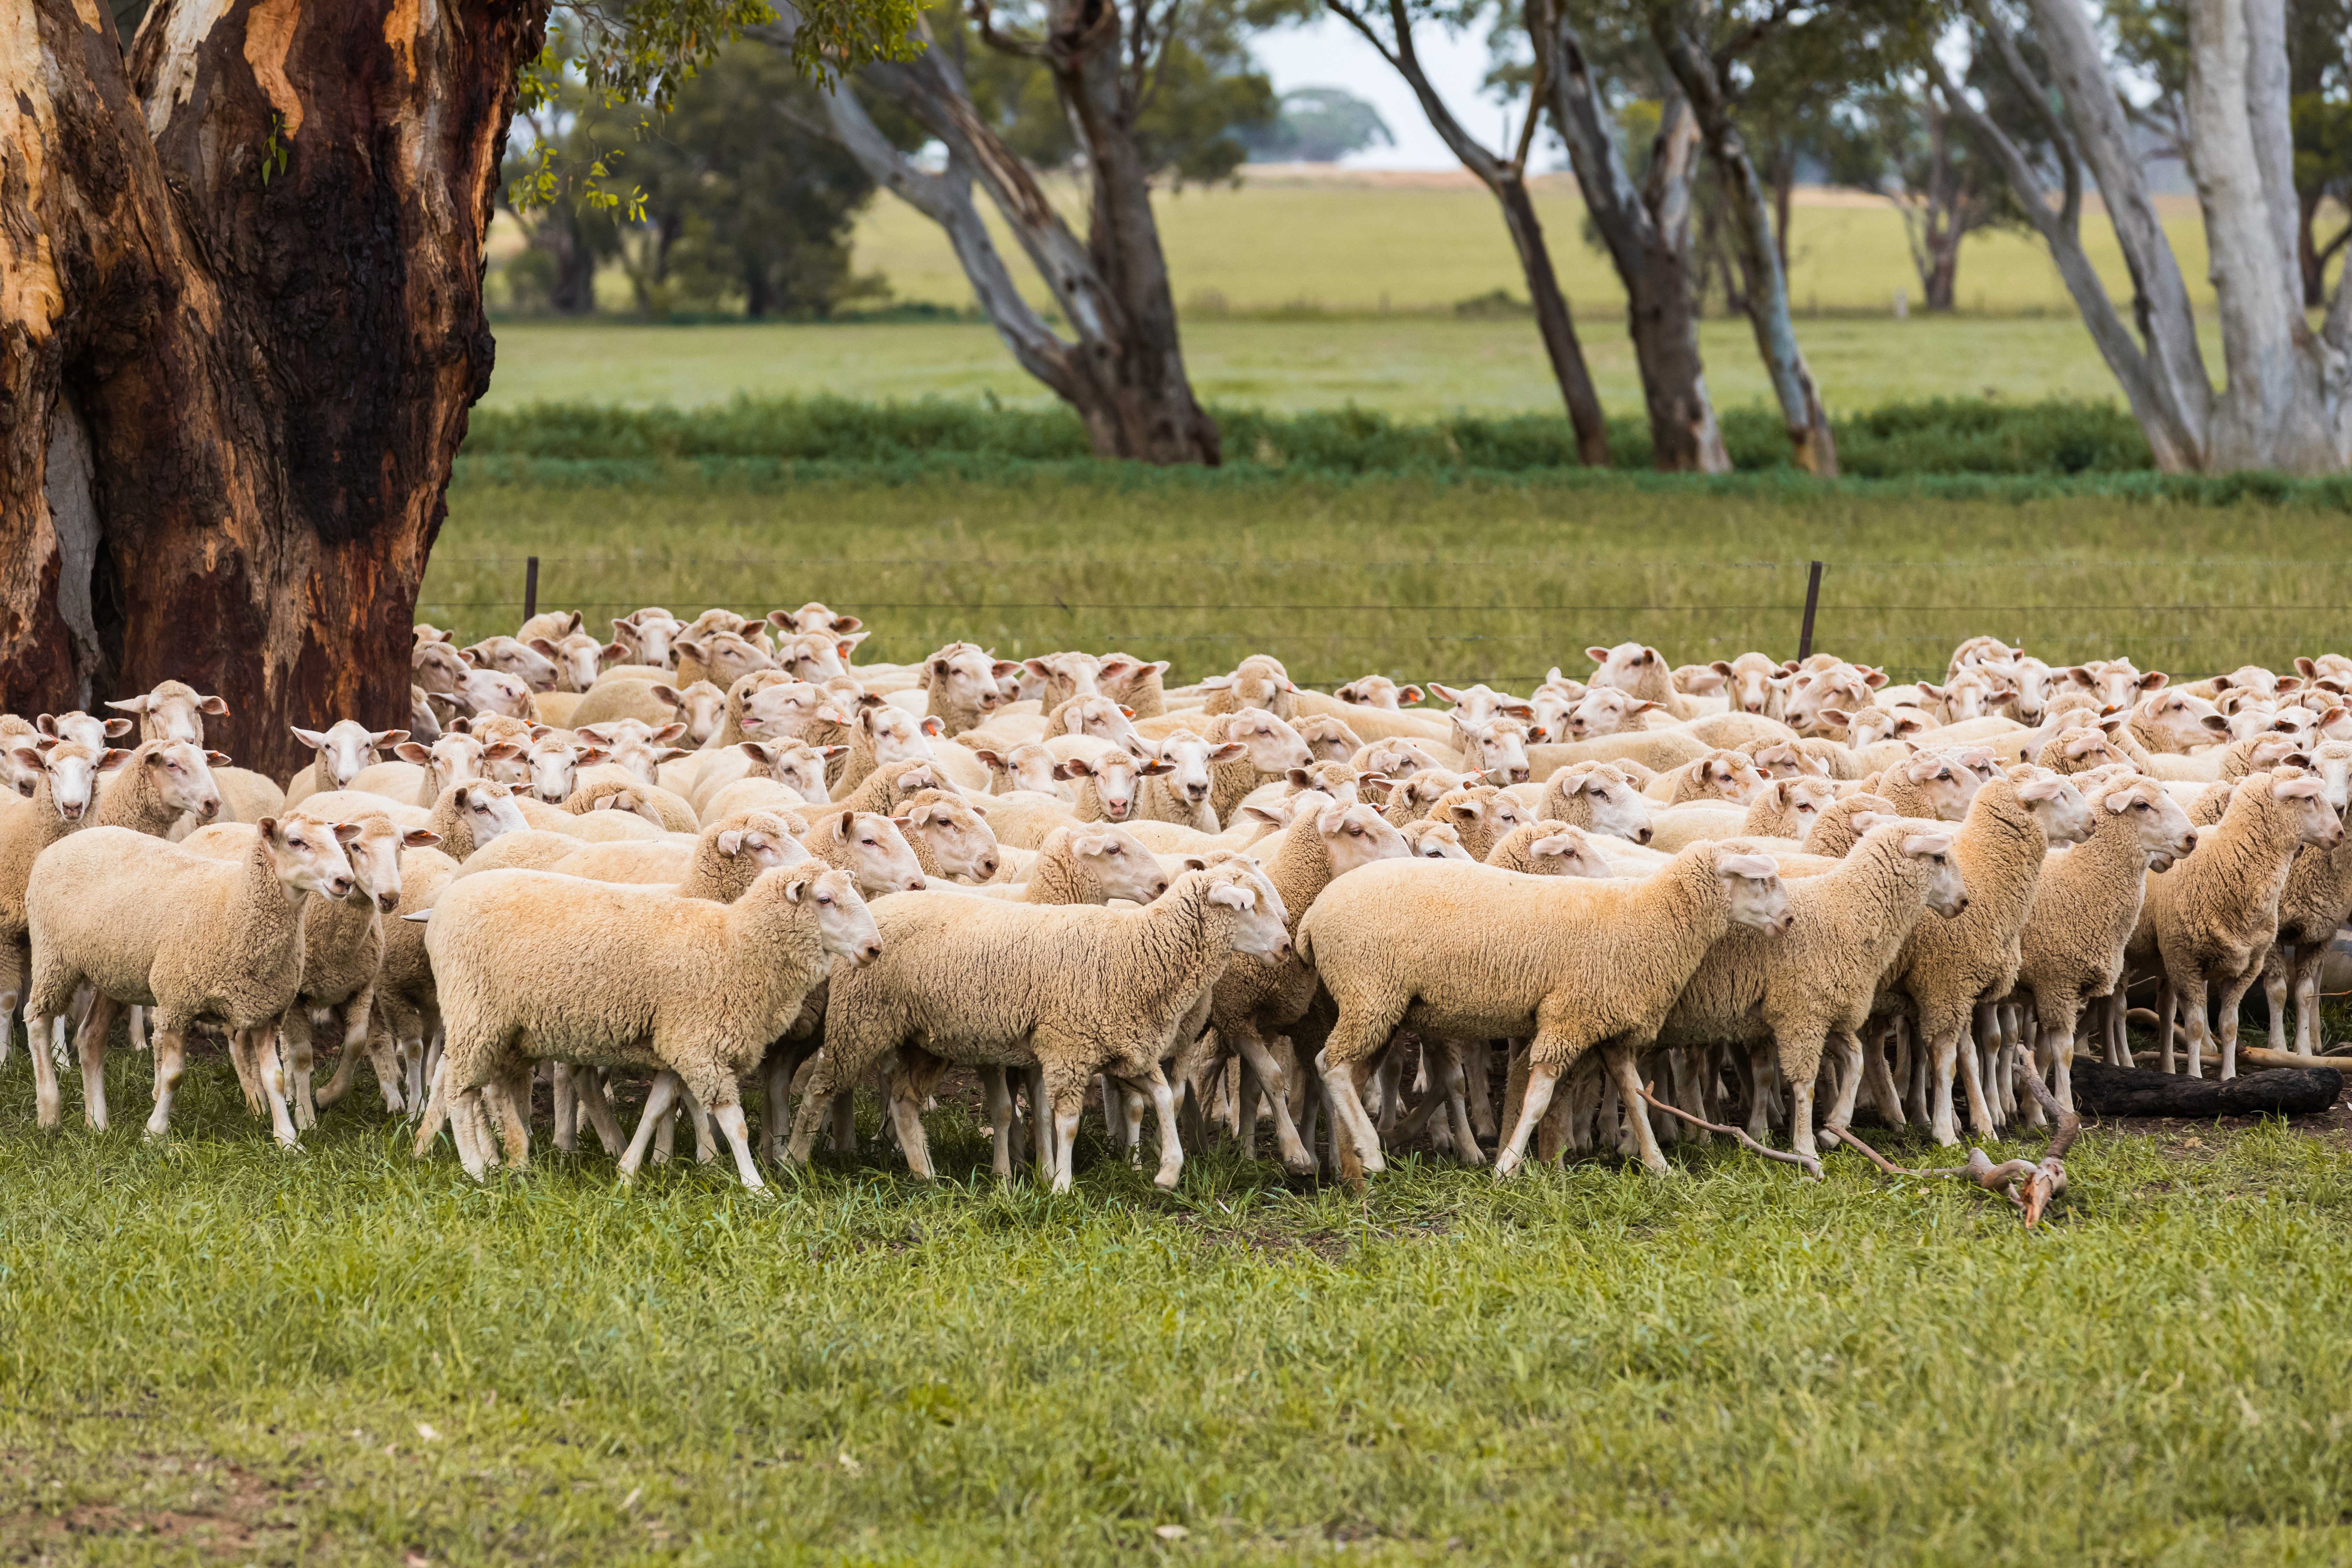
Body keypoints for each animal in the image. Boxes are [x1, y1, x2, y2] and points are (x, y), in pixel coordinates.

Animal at [24, 816, 359, 1138]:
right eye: (296, 842)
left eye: (337, 840)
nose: (346, 881)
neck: (235, 904)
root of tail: (66, 841)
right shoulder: (177, 1003)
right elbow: (173, 1076)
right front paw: (155, 1133)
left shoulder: (264, 1010)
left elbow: (273, 1078)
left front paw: (288, 1139)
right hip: (53, 957)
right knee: (38, 1021)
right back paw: (49, 1113)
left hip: (114, 972)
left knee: (91, 1037)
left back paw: (97, 1123)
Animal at [422, 865, 878, 1186]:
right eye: (825, 899)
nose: (875, 948)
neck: (736, 948)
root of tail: (442, 907)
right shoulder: (700, 1046)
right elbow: (735, 1125)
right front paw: (756, 1186)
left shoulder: (679, 1045)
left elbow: (656, 1108)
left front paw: (628, 1171)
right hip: (474, 1013)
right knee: (459, 1091)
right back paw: (476, 1169)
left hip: (505, 1029)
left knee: (491, 1089)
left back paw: (511, 1161)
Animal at [791, 861, 1290, 1191]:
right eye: (1248, 906)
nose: (1287, 946)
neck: (1135, 950)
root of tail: (876, 915)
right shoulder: (1069, 1047)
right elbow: (1067, 1122)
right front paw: (1061, 1186)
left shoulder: (1124, 1048)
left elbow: (1166, 1097)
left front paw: (1168, 1170)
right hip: (862, 1020)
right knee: (819, 1087)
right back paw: (794, 1161)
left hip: (925, 1040)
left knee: (903, 1100)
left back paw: (925, 1173)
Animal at [1300, 843, 1791, 1179]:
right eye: (1759, 881)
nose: (1788, 921)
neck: (1650, 917)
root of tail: (1313, 914)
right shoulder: (1567, 1017)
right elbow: (1537, 1099)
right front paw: (1507, 1166)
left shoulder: (1609, 1028)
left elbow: (1635, 1097)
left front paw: (1659, 1166)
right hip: (1370, 993)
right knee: (1330, 1064)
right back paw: (1372, 1151)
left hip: (1382, 1006)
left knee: (1343, 1070)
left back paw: (1359, 1159)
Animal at [2127, 769, 2344, 1079]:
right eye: (2309, 798)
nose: (2340, 833)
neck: (2227, 860)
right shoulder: (2187, 963)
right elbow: (2195, 1027)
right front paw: (2195, 1077)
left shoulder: (2246, 967)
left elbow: (2230, 1026)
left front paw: (2229, 1077)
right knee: (2115, 1007)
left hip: (2163, 959)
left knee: (2164, 1010)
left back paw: (2166, 1068)